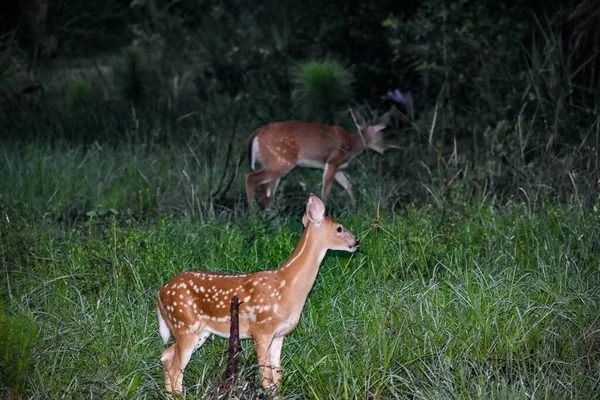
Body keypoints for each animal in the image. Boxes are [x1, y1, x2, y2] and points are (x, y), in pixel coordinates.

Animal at [157, 194, 358, 394]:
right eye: (339, 228)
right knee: (175, 368)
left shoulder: (279, 335)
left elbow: (277, 378)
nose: (356, 241)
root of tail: (159, 295)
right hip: (185, 325)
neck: (287, 285)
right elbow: (266, 379)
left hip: (197, 331)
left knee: (166, 355)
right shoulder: (261, 330)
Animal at [244, 108, 394, 206]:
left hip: (273, 161)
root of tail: (255, 134)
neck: (352, 144)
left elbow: (348, 185)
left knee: (268, 191)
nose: (385, 149)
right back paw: (253, 214)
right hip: (281, 160)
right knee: (251, 178)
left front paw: (354, 207)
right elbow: (326, 190)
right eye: (382, 135)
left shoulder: (338, 167)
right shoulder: (333, 161)